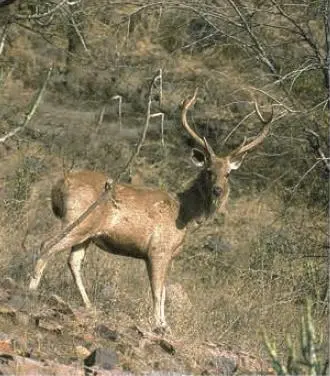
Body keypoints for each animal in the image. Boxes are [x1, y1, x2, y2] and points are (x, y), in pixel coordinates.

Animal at [28, 89, 272, 330]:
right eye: (208, 171)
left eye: (228, 174)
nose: (218, 190)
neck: (184, 214)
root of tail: (59, 185)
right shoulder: (158, 249)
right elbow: (156, 291)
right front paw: (158, 324)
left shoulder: (169, 255)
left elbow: (163, 291)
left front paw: (165, 324)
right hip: (77, 218)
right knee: (46, 244)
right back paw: (31, 289)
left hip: (87, 233)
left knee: (74, 261)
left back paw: (88, 305)